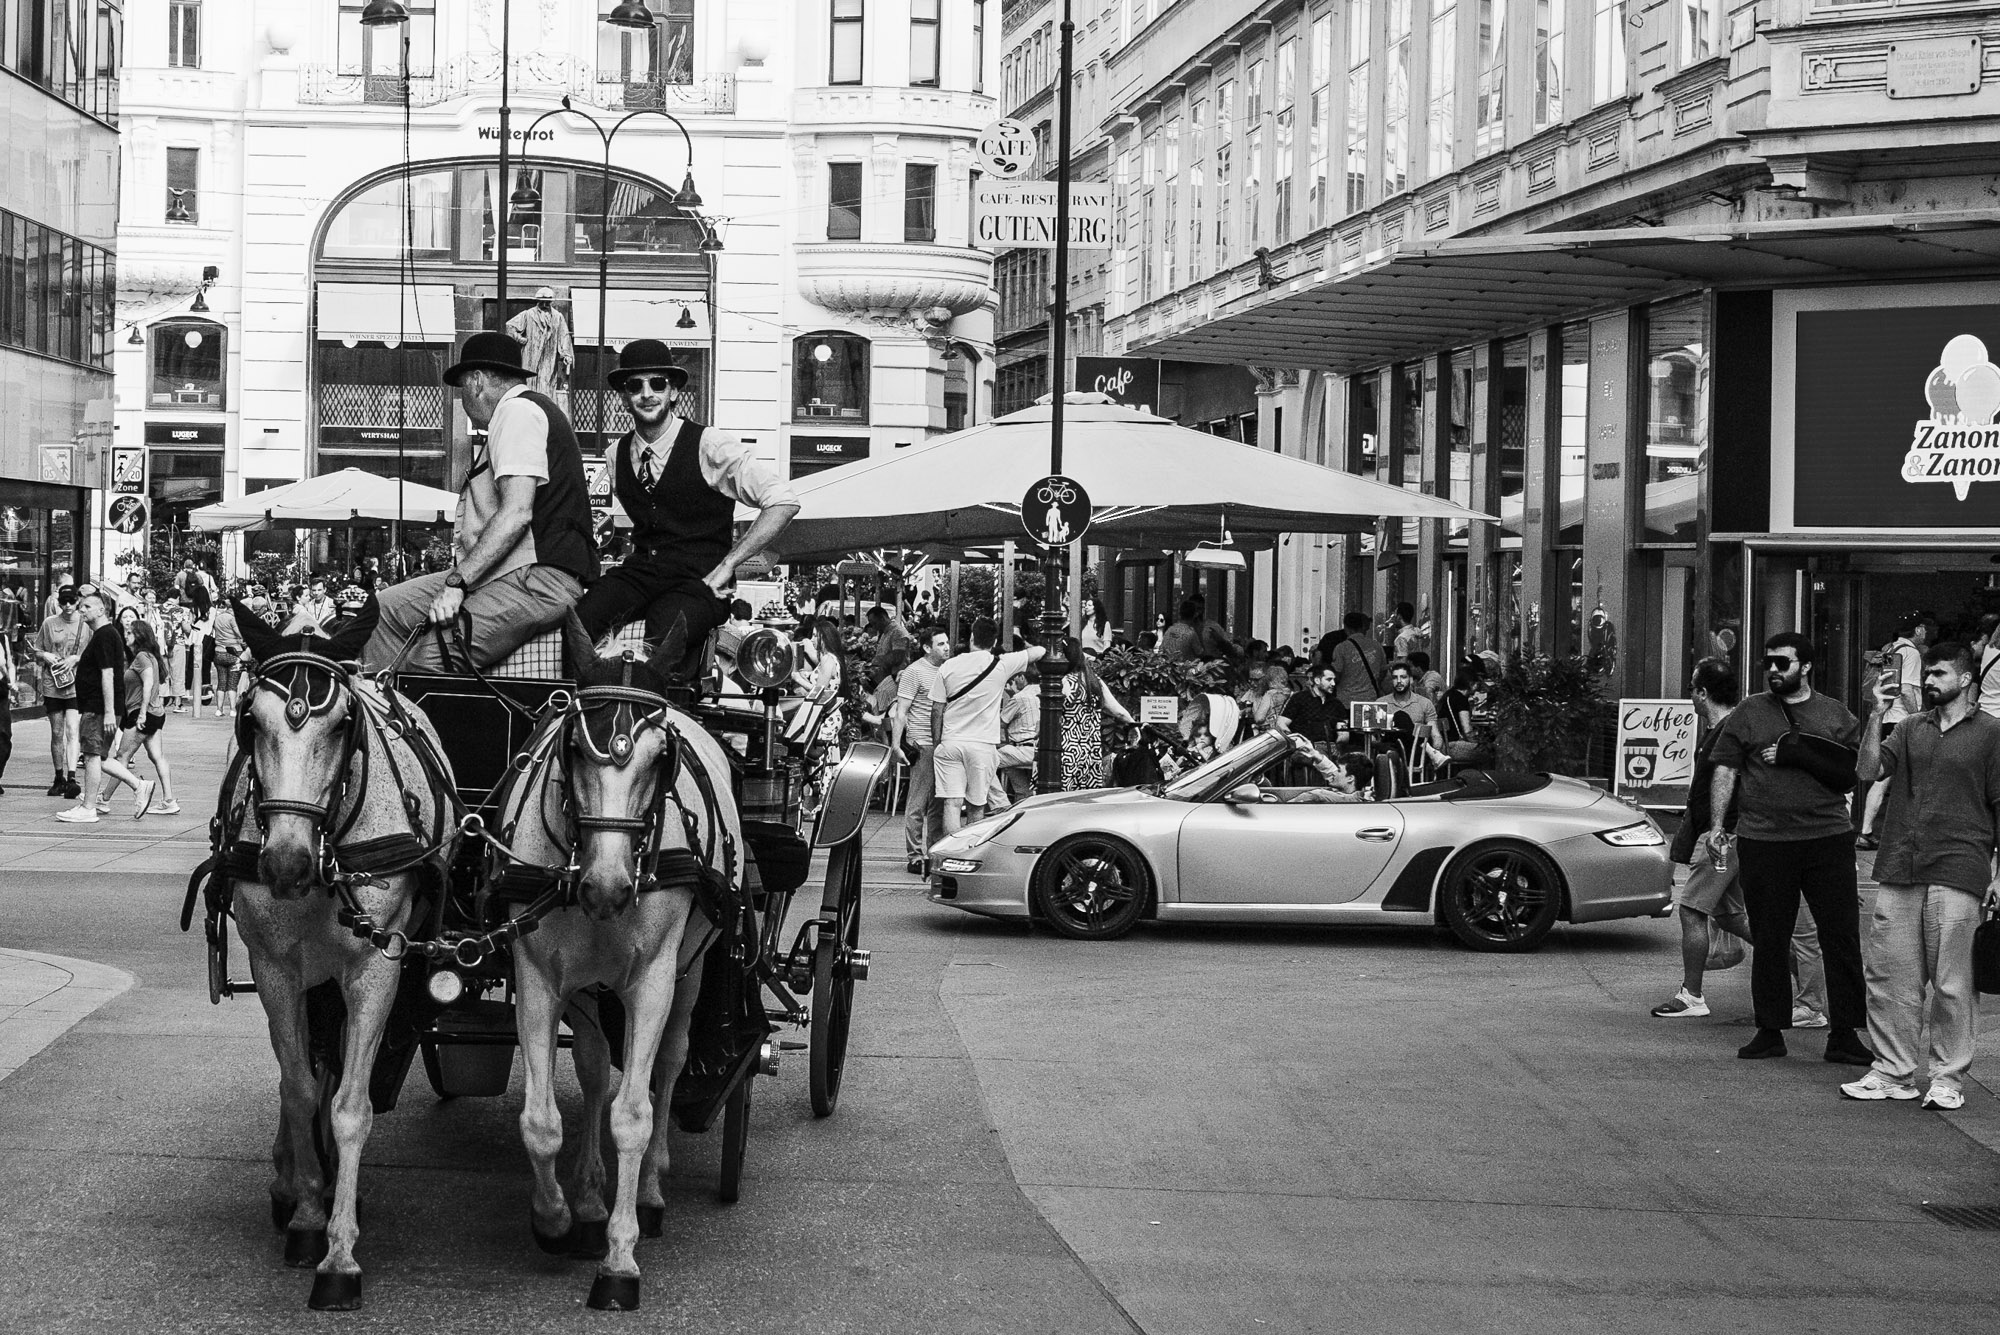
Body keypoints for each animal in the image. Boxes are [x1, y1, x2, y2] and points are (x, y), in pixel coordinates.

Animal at [191, 600, 459, 1310]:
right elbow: (299, 1086)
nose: (285, 861)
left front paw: (340, 1253)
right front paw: (310, 1214)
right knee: (306, 1068)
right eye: (249, 718)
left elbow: (348, 1105)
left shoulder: (375, 969)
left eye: (343, 724)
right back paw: (292, 1182)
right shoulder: (275, 967)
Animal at [479, 614, 743, 1311]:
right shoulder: (540, 977)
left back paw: (647, 1191)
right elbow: (542, 1119)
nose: (606, 887)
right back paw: (593, 1194)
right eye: (573, 747)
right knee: (598, 1068)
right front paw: (558, 1219)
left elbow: (634, 1113)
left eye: (660, 757)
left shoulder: (652, 981)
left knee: (670, 1065)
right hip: (588, 989)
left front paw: (620, 1260)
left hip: (691, 973)